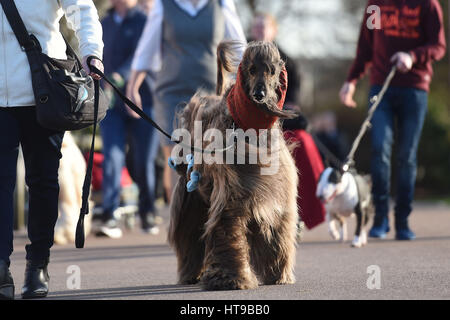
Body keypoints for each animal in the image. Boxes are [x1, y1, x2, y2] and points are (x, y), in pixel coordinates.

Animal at [168, 42, 298, 290]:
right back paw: (190, 273)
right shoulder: (231, 197)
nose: (259, 95)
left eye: (272, 71)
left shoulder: (274, 195)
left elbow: (276, 230)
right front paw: (230, 278)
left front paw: (277, 273)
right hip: (192, 198)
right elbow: (227, 231)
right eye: (251, 69)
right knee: (188, 232)